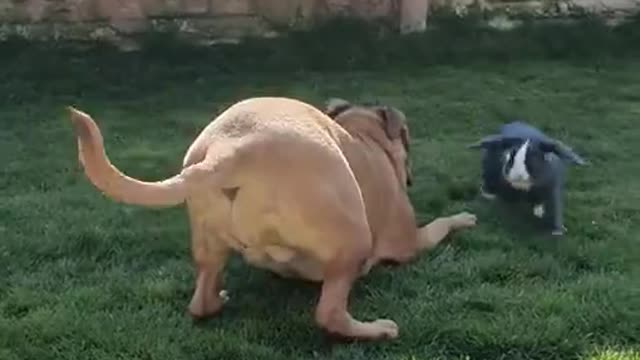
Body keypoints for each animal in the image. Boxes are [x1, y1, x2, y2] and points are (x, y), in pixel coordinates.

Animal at [66, 97, 476, 342]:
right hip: (353, 237)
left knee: (200, 299)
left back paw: (217, 299)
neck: (365, 135)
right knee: (329, 313)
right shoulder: (410, 241)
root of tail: (231, 151)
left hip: (208, 242)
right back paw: (377, 330)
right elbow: (441, 224)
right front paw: (464, 218)